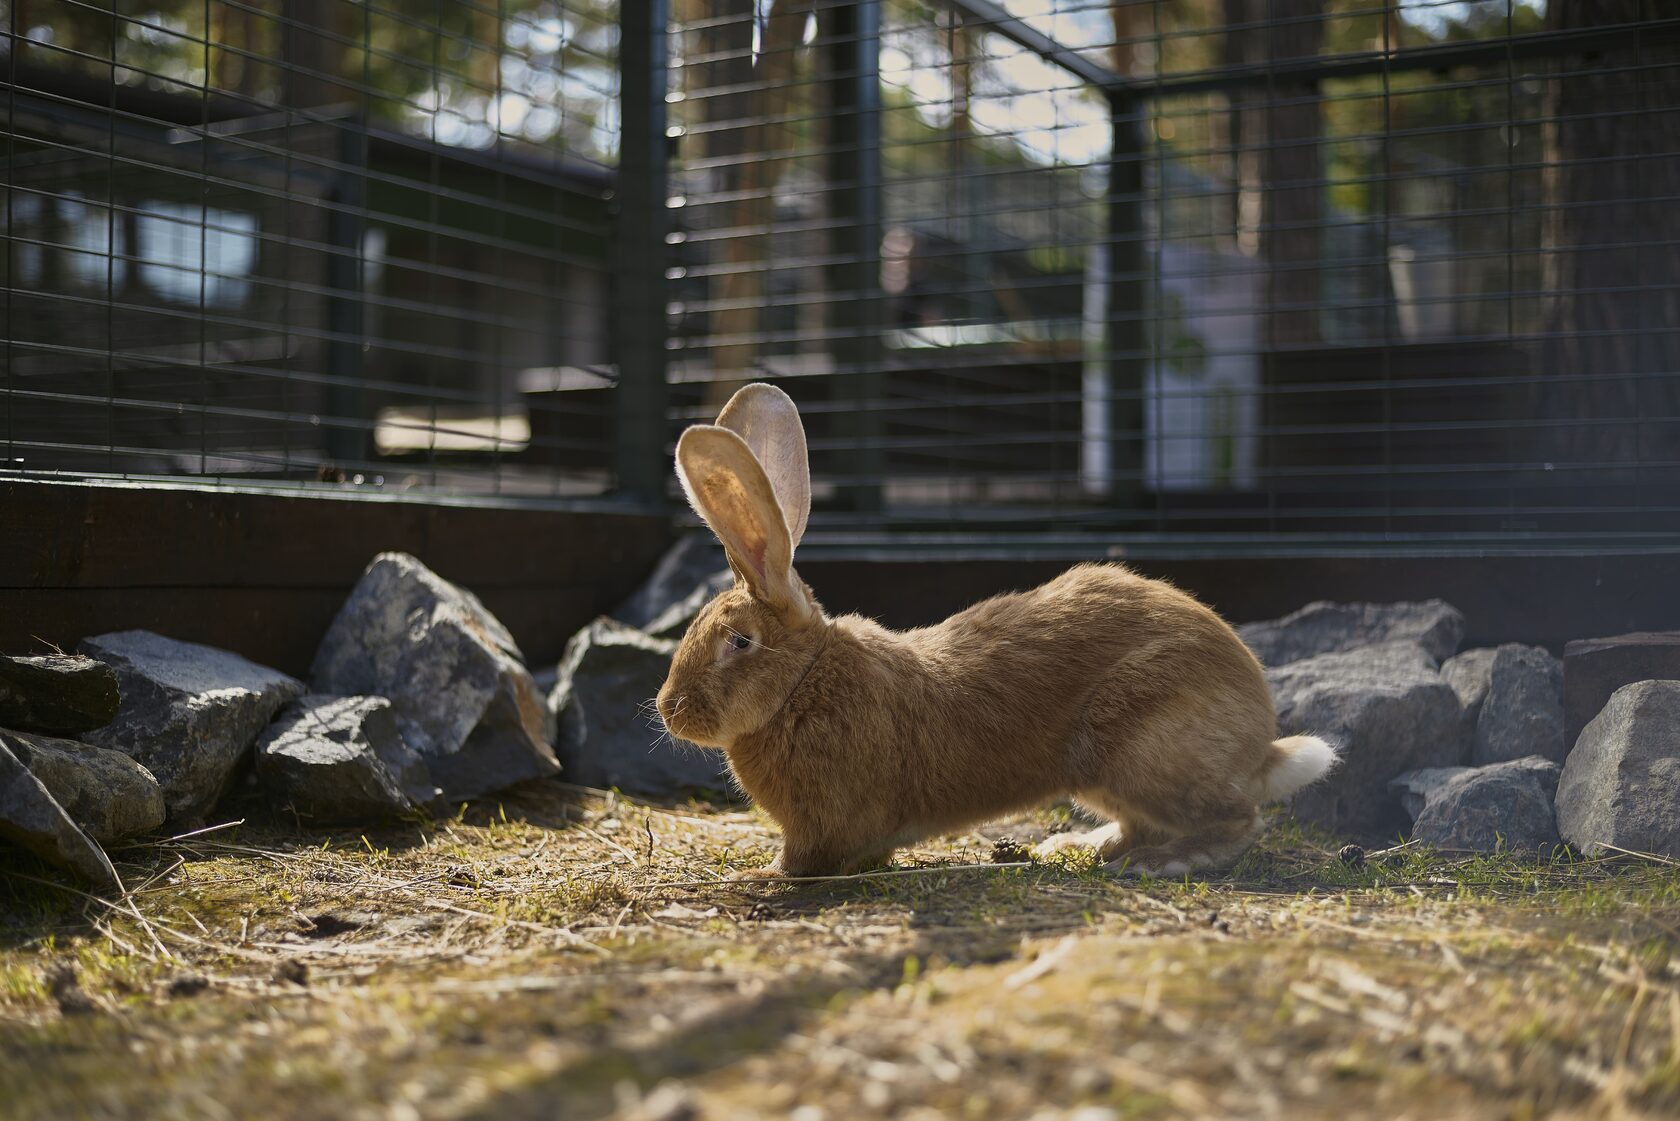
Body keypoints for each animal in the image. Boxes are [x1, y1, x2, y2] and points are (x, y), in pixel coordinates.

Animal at [655, 381, 1337, 880]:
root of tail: (1260, 743)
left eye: (739, 642)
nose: (668, 710)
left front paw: (761, 874)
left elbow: (809, 859)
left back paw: (1164, 861)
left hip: (1143, 747)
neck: (803, 679)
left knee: (1236, 820)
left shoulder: (824, 823)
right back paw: (1081, 846)